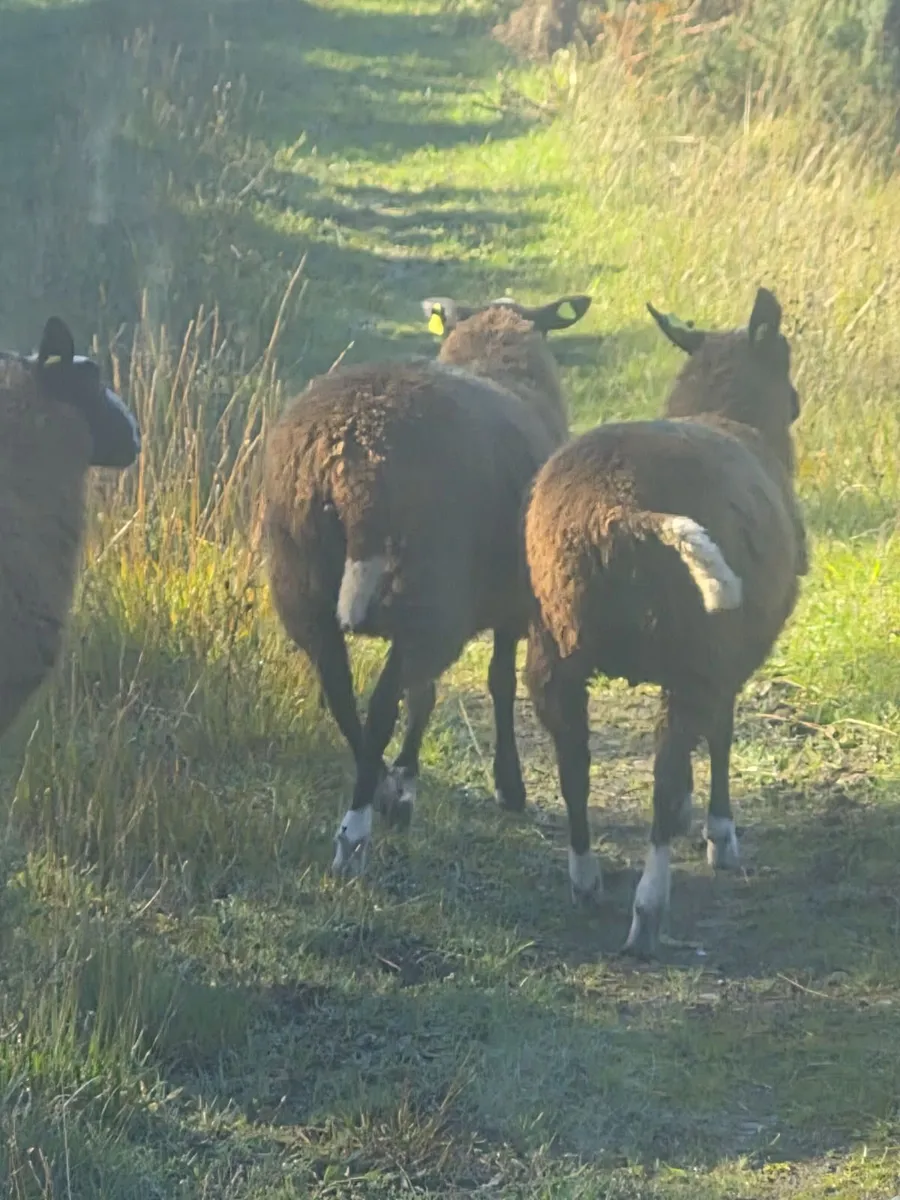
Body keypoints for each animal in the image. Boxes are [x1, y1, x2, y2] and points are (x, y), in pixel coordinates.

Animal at [262, 292, 591, 873]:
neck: (496, 354)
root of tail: (352, 457)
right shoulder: (512, 603)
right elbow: (497, 684)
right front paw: (508, 785)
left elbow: (428, 694)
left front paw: (406, 779)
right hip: (427, 593)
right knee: (382, 707)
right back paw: (356, 831)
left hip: (305, 585)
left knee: (343, 694)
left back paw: (380, 792)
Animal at [522, 287, 806, 957]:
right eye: (782, 358)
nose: (798, 402)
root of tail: (617, 508)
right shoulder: (729, 656)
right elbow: (722, 737)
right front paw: (720, 834)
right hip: (692, 652)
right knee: (663, 775)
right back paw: (648, 912)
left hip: (552, 647)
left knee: (574, 767)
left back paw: (586, 879)